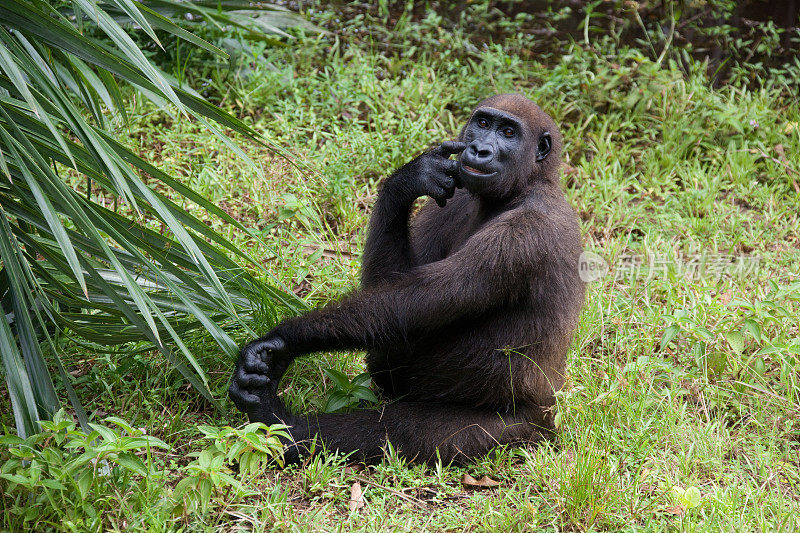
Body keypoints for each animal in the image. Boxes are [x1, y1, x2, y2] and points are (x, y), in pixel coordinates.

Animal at [228, 93, 584, 464]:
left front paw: (283, 341)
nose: (480, 149)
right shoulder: (455, 197)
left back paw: (285, 427)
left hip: (516, 428)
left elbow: (412, 304)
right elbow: (392, 286)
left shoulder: (525, 233)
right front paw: (409, 179)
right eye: (483, 123)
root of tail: (550, 416)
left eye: (509, 132)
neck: (526, 186)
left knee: (404, 430)